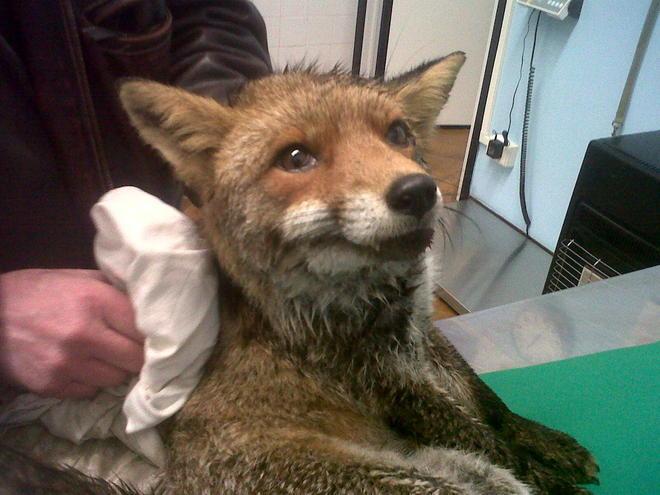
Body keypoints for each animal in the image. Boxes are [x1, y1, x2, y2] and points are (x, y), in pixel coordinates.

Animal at [0, 53, 599, 494]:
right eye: (295, 157)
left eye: (397, 134)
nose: (419, 191)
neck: (381, 297)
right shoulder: (380, 371)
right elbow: (478, 434)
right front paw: (544, 473)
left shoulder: (422, 335)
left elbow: (485, 401)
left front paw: (542, 440)